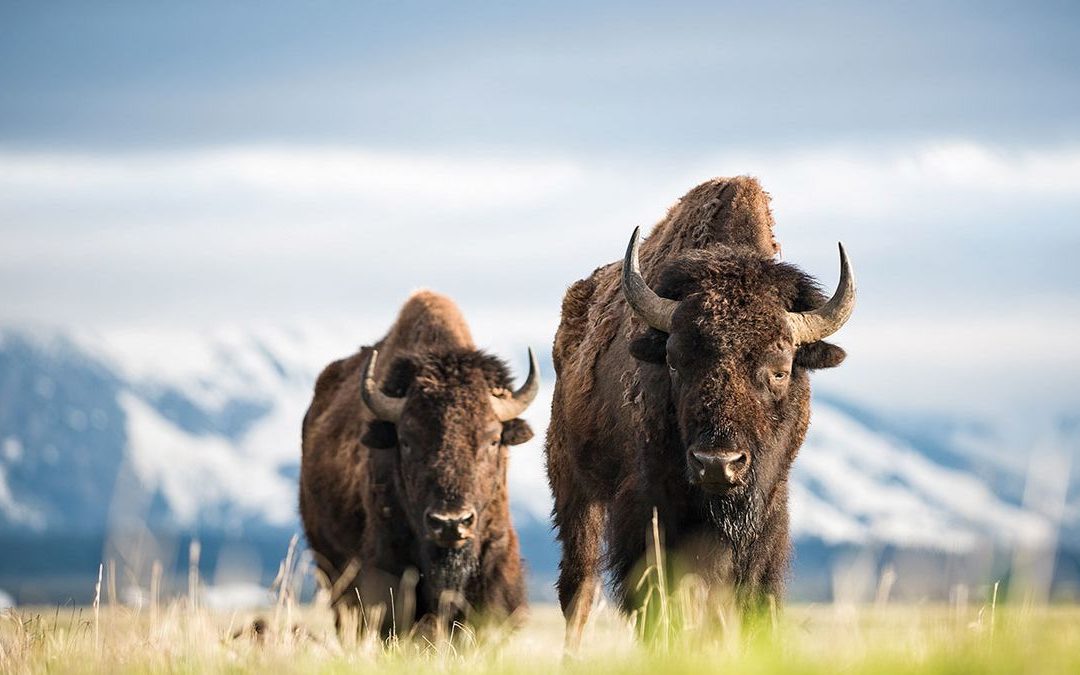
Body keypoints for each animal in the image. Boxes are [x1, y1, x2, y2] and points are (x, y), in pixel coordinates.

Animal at [548, 176, 859, 643]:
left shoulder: (766, 515)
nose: (718, 463)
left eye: (781, 368)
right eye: (675, 362)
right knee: (579, 589)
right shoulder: (648, 513)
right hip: (574, 489)